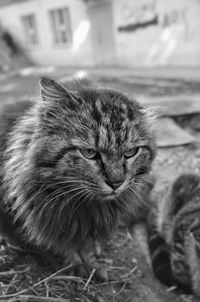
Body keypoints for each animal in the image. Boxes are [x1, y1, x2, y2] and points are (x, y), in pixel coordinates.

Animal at [0, 76, 156, 274]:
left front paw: (91, 261)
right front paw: (78, 266)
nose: (116, 183)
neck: (84, 205)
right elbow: (57, 246)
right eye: (89, 153)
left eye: (130, 152)